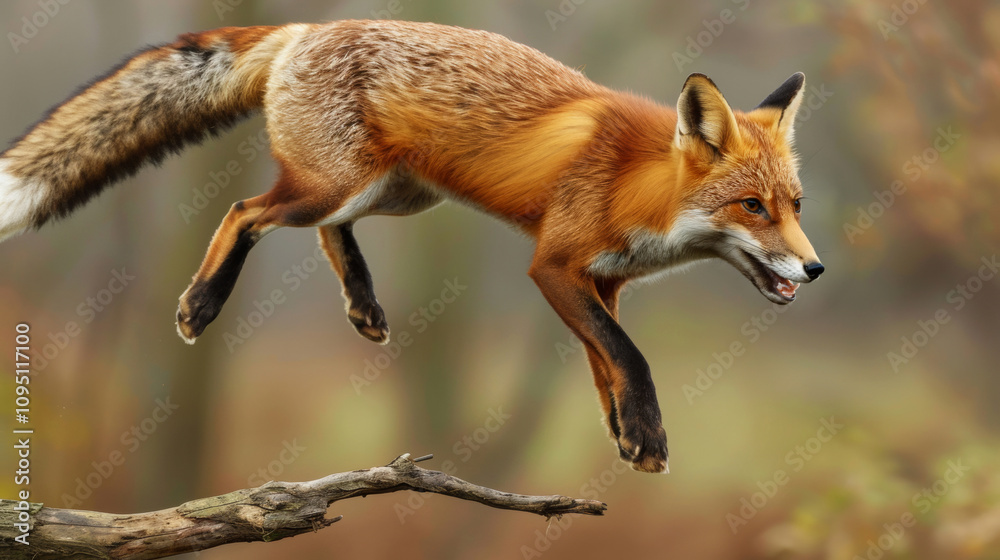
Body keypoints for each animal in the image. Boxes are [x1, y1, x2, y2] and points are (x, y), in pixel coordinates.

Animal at [0, 20, 824, 473]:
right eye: (751, 208)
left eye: (795, 206)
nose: (815, 268)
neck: (635, 185)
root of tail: (307, 27)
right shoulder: (553, 266)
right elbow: (630, 355)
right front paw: (645, 435)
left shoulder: (604, 283)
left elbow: (606, 365)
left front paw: (629, 435)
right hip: (337, 185)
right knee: (244, 212)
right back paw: (202, 303)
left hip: (393, 192)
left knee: (325, 230)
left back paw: (363, 302)